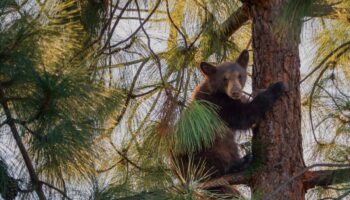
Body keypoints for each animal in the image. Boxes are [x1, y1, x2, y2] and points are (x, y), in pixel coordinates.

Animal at [176, 50, 286, 178]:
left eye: (240, 76)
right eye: (225, 79)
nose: (235, 92)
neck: (220, 93)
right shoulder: (218, 105)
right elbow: (243, 115)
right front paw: (276, 87)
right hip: (203, 147)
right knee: (223, 147)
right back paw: (239, 163)